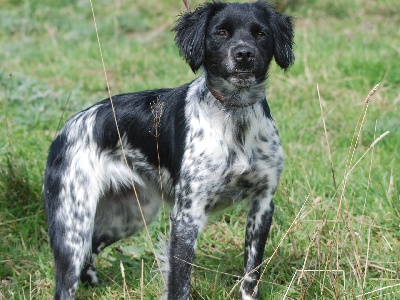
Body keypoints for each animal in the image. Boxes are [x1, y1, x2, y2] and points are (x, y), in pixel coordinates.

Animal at [43, 1, 294, 298]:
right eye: (221, 32)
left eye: (261, 34)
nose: (244, 54)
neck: (235, 118)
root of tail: (64, 132)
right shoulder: (187, 217)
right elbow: (179, 283)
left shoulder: (262, 204)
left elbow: (251, 276)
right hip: (73, 229)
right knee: (67, 280)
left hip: (130, 215)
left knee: (91, 252)